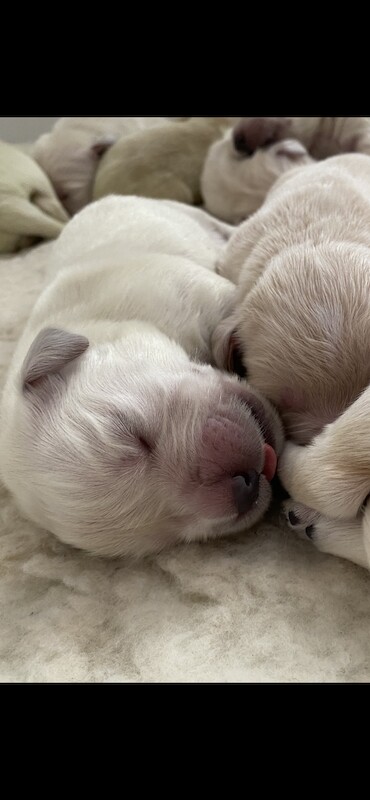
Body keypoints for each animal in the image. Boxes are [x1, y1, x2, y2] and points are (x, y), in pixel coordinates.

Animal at [0, 195, 284, 556]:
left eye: (134, 434)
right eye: (170, 531)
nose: (244, 484)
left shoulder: (189, 289)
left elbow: (235, 302)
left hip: (182, 213)